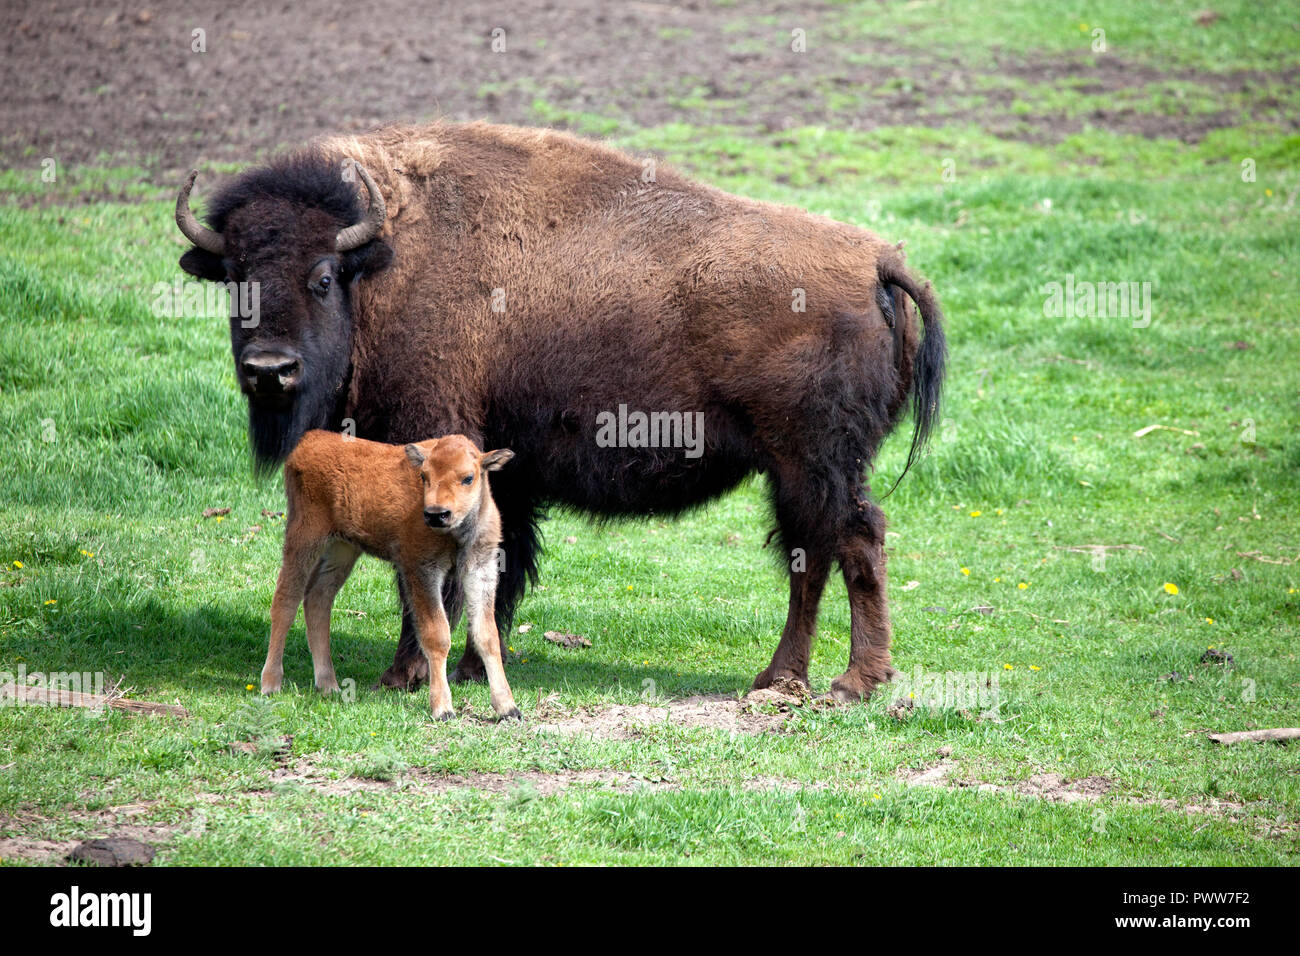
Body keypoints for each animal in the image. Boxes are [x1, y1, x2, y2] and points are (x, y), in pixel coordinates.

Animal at [258, 431, 517, 717]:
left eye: (468, 477)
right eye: (424, 476)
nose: (436, 514)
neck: (457, 535)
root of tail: (308, 441)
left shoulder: (481, 567)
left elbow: (487, 634)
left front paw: (508, 707)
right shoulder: (421, 570)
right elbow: (437, 635)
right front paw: (443, 708)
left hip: (342, 549)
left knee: (318, 599)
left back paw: (328, 685)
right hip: (305, 538)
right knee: (285, 600)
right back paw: (270, 684)